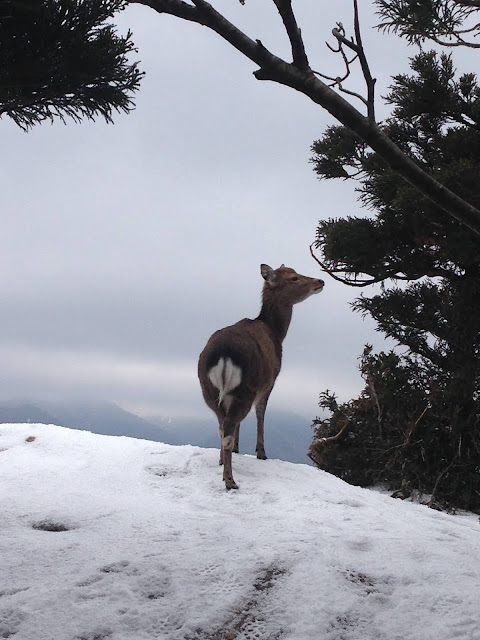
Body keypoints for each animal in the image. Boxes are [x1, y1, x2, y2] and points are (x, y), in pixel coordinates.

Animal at [197, 264, 324, 490]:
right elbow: (261, 412)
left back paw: (223, 463)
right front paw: (261, 452)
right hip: (246, 389)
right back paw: (230, 481)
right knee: (228, 429)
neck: (276, 333)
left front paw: (236, 450)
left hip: (209, 391)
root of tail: (223, 354)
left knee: (222, 426)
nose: (320, 281)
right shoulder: (270, 380)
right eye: (294, 278)